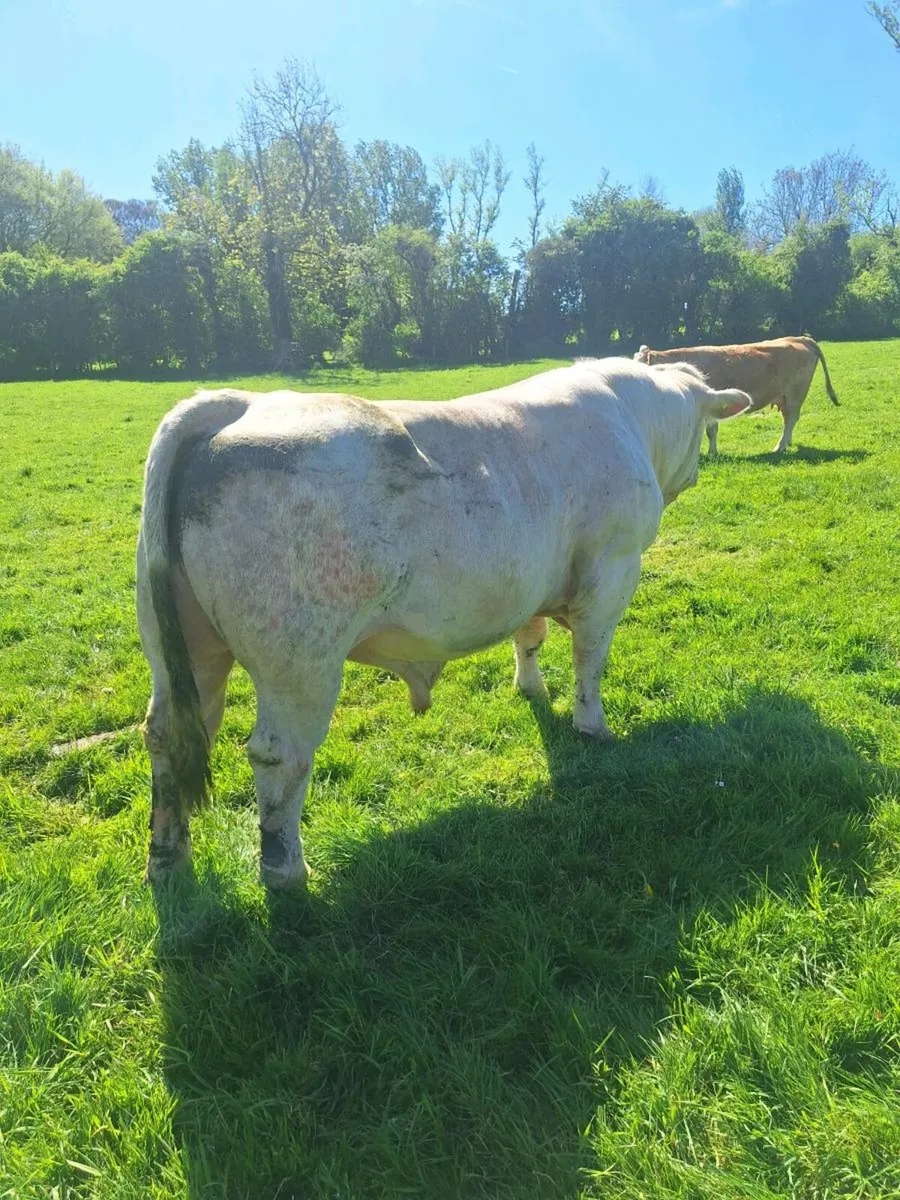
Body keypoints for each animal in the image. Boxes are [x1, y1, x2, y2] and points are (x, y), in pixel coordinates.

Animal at [137, 359, 751, 888]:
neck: (633, 418)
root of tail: (240, 403)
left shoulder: (529, 582)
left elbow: (530, 638)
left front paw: (530, 688)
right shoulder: (612, 570)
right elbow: (590, 658)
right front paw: (592, 726)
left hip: (183, 650)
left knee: (171, 735)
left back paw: (168, 863)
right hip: (299, 660)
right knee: (277, 754)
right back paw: (286, 872)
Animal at [634, 336, 839, 455]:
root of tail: (800, 338)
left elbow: (710, 431)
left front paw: (712, 453)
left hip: (795, 395)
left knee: (791, 419)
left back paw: (779, 447)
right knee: (789, 419)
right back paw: (786, 443)